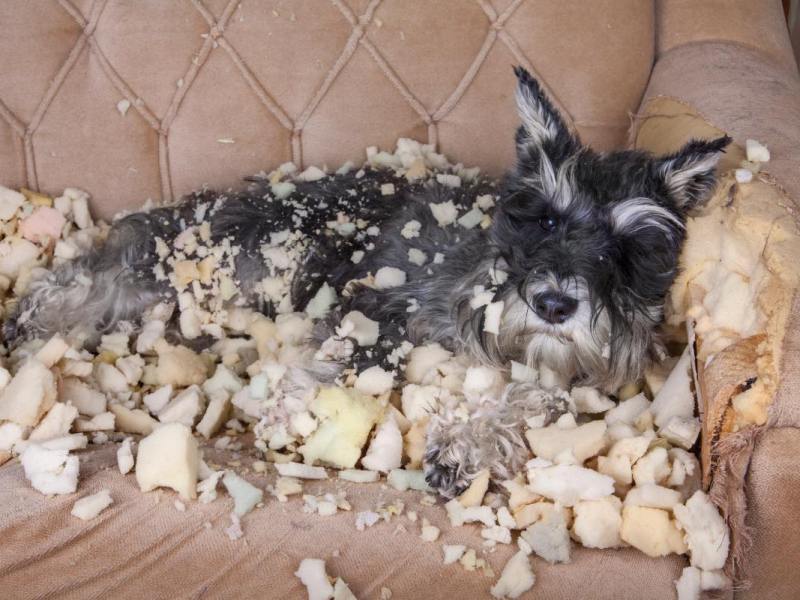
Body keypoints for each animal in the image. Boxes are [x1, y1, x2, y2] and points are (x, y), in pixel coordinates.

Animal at [0, 67, 736, 600]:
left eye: (624, 248)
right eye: (547, 219)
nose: (554, 303)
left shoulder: (564, 376)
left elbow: (535, 400)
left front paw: (465, 445)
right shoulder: (381, 304)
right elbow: (352, 358)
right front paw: (291, 412)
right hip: (192, 265)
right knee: (81, 283)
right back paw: (30, 330)